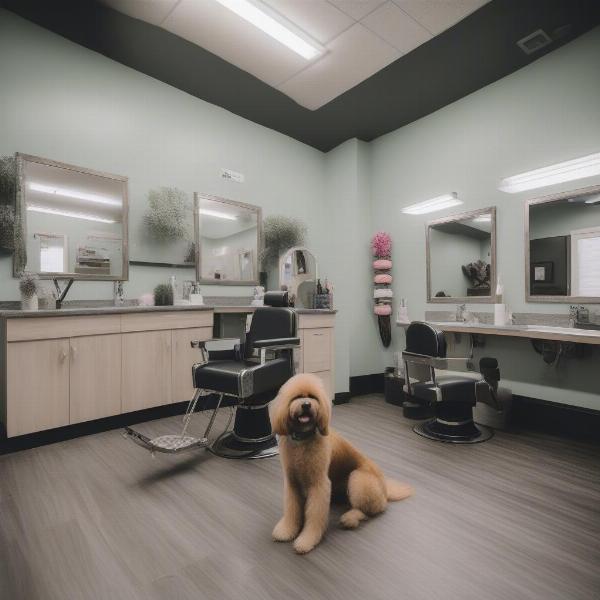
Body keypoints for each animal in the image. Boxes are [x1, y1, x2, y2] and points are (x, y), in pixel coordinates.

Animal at [268, 372, 412, 556]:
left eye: (313, 397)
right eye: (297, 397)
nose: (306, 405)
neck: (302, 440)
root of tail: (385, 488)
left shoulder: (319, 484)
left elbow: (315, 517)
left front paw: (307, 540)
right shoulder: (292, 482)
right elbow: (291, 510)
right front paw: (286, 530)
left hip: (358, 479)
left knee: (369, 510)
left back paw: (349, 519)